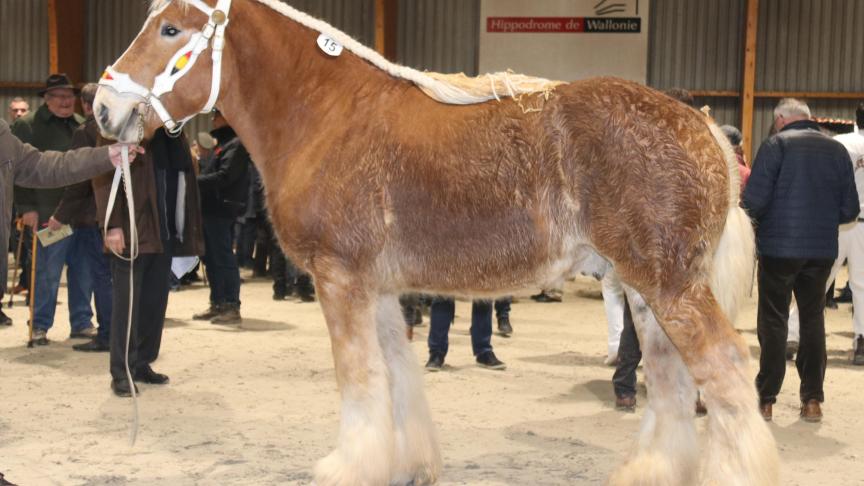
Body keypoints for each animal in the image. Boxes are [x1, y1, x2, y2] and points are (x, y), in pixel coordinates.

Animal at [98, 0, 780, 486]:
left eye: (171, 30)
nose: (103, 107)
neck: (327, 113)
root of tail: (701, 124)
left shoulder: (339, 280)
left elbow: (359, 381)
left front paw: (350, 467)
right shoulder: (375, 289)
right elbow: (397, 377)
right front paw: (406, 465)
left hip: (670, 287)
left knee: (724, 370)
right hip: (643, 289)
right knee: (670, 381)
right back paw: (650, 471)